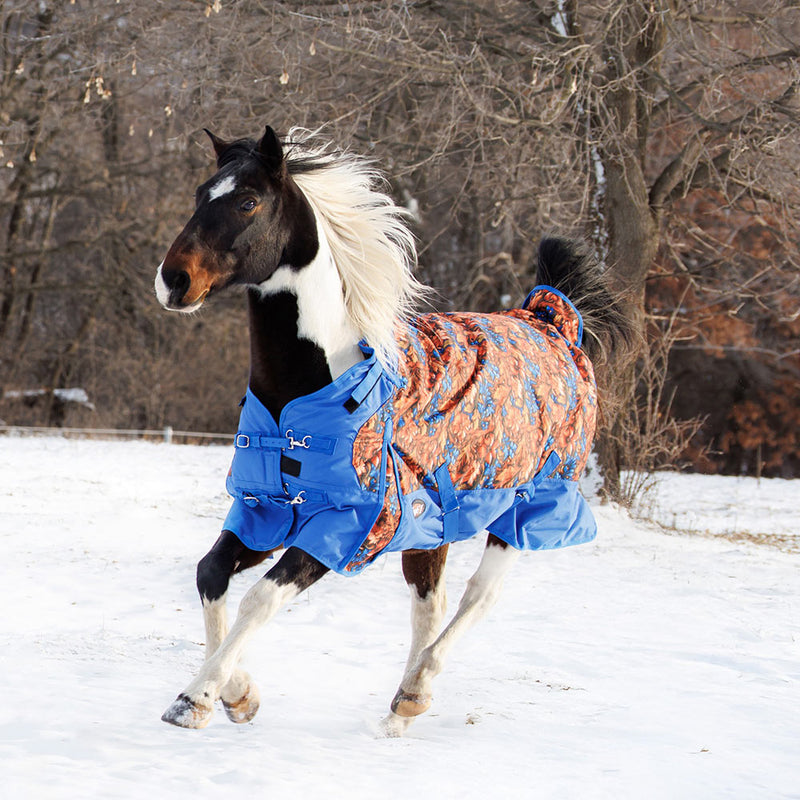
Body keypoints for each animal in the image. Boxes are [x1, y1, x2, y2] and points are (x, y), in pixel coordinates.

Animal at [155, 125, 630, 737]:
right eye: (199, 193)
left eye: (248, 202)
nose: (173, 280)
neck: (309, 389)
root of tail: (549, 322)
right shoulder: (268, 511)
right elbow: (210, 574)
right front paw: (237, 695)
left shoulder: (349, 525)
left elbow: (259, 599)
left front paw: (195, 698)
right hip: (434, 526)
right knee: (430, 605)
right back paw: (401, 711)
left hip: (526, 505)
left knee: (478, 597)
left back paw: (418, 688)